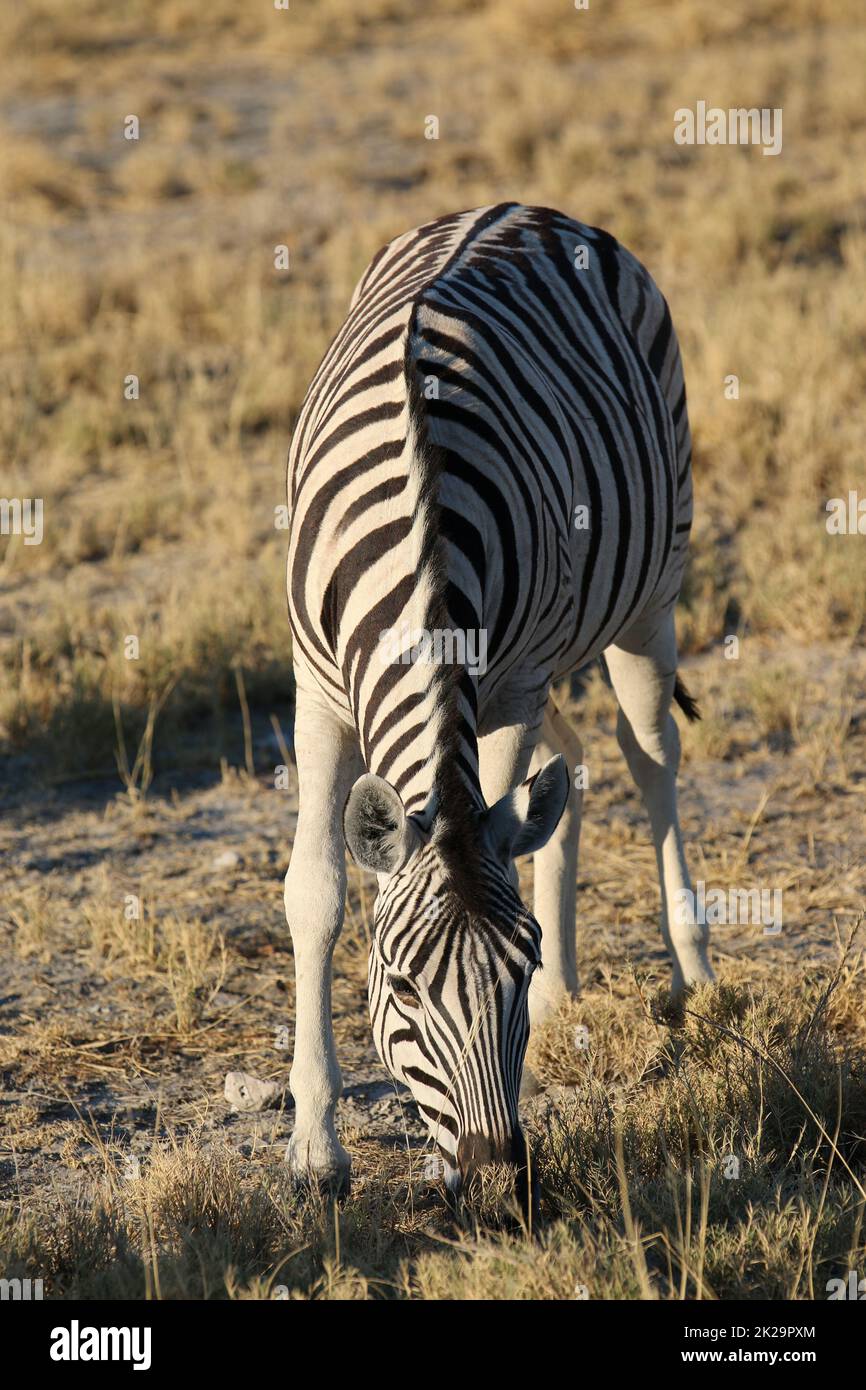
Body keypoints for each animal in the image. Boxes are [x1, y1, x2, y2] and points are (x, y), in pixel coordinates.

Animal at [284, 202, 714, 1196]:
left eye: (514, 968)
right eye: (402, 988)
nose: (494, 1184)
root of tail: (523, 208)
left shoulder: (509, 681)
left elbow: (503, 831)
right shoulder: (316, 689)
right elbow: (315, 892)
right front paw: (317, 1148)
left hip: (650, 594)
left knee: (649, 757)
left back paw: (692, 975)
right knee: (571, 770)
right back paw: (575, 996)